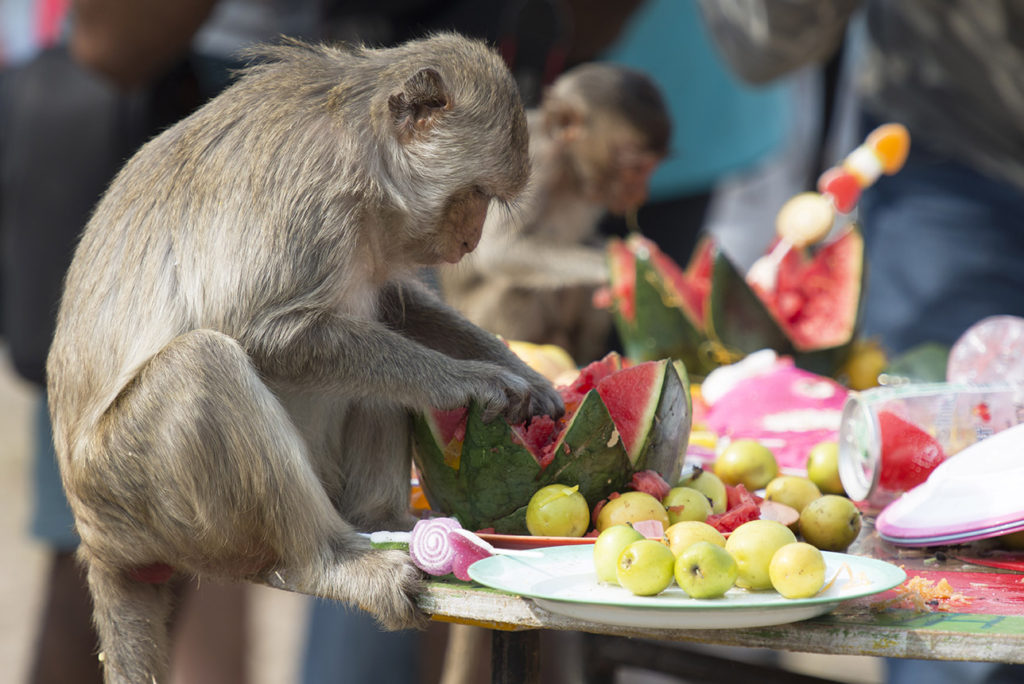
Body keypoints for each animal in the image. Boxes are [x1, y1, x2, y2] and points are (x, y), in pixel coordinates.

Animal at [44, 33, 565, 684]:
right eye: (476, 195)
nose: (470, 241)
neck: (365, 151)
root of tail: (97, 540)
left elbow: (394, 308)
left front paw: (521, 372)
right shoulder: (314, 198)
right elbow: (267, 334)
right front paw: (469, 381)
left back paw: (384, 521)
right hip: (140, 496)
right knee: (203, 365)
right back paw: (330, 560)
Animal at [438, 62, 671, 362]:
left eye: (650, 168)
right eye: (635, 168)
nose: (641, 192)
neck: (570, 169)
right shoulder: (537, 160)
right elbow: (499, 251)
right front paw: (614, 268)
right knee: (516, 288)